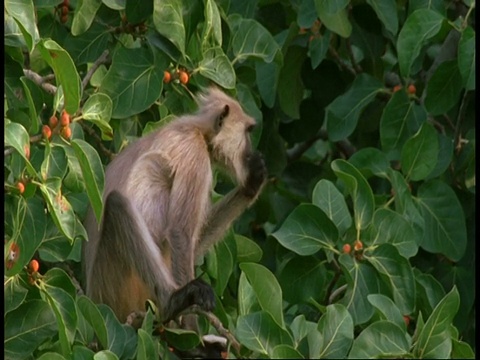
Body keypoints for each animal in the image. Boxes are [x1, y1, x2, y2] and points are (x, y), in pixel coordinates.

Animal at [84, 87, 268, 326]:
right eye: (247, 132)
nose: (250, 150)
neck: (198, 131)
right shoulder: (194, 152)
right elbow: (180, 232)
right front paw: (192, 328)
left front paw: (252, 184)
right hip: (109, 281)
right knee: (117, 205)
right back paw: (172, 302)